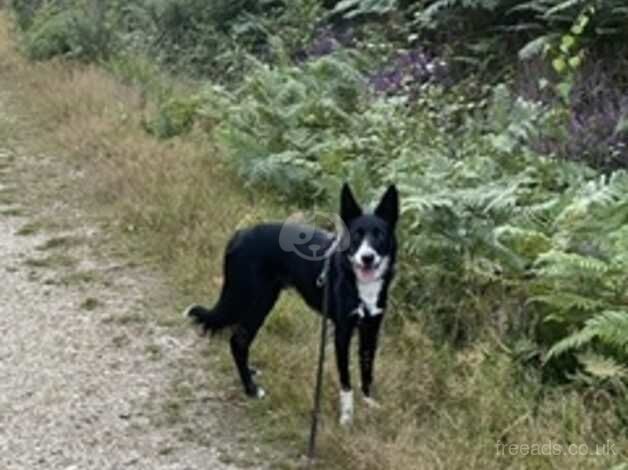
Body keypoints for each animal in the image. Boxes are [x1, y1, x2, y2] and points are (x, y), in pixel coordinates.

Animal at [185, 184, 398, 426]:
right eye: (356, 236)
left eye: (379, 235)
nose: (367, 257)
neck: (360, 283)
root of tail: (239, 235)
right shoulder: (342, 332)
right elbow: (345, 379)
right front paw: (346, 416)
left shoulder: (371, 329)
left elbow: (367, 368)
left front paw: (369, 402)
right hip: (256, 301)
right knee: (238, 341)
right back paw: (251, 389)